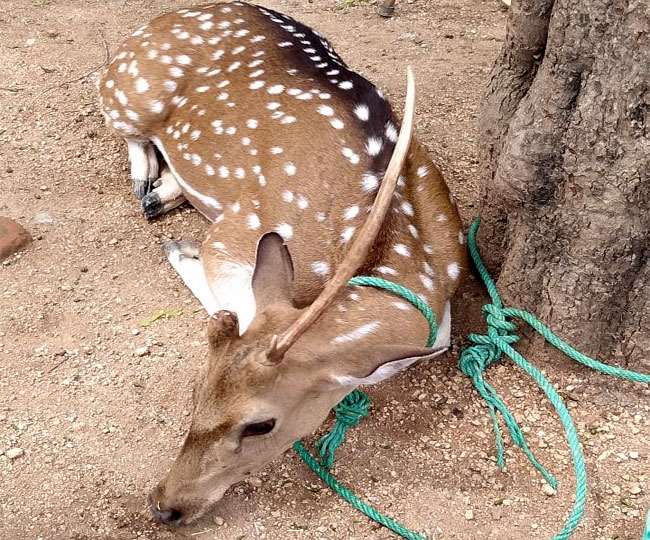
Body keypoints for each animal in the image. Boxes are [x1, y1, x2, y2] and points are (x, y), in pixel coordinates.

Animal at [97, 1, 466, 528]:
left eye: (260, 424)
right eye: (196, 387)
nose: (164, 505)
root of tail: (162, 19)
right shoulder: (236, 229)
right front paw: (182, 250)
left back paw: (164, 192)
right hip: (130, 92)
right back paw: (149, 185)